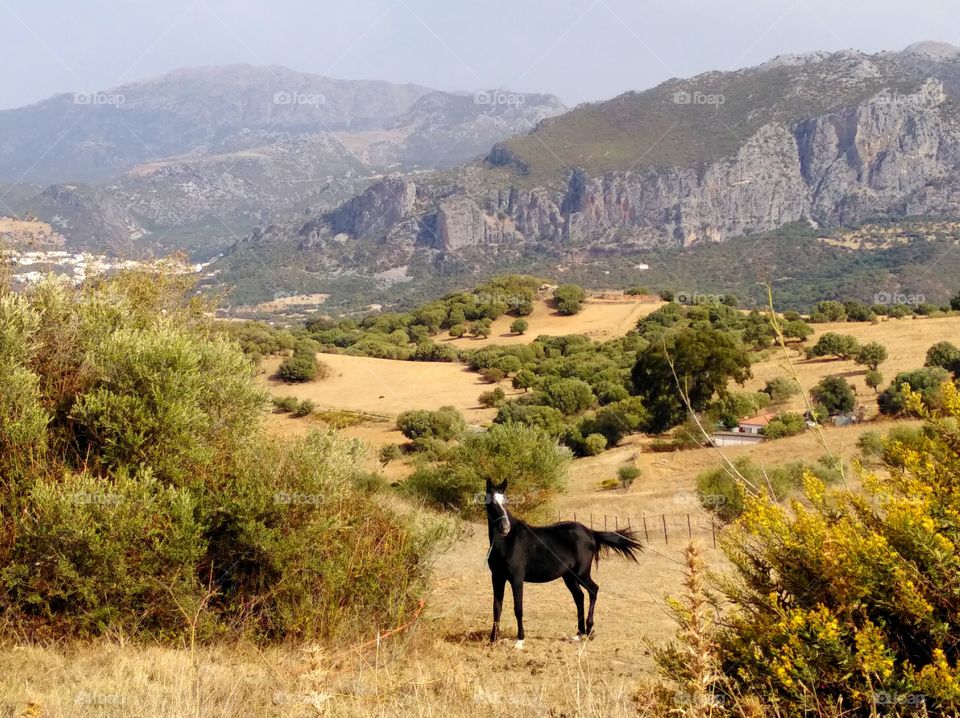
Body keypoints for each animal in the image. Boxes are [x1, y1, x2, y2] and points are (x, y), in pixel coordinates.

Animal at [484, 480, 640, 648]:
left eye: (506, 501)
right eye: (491, 502)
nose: (505, 527)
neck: (508, 542)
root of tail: (590, 533)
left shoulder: (517, 579)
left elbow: (518, 608)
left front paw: (520, 640)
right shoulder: (497, 578)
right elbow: (496, 607)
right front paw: (493, 639)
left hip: (581, 574)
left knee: (593, 590)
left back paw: (590, 630)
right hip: (569, 577)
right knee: (579, 597)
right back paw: (578, 634)